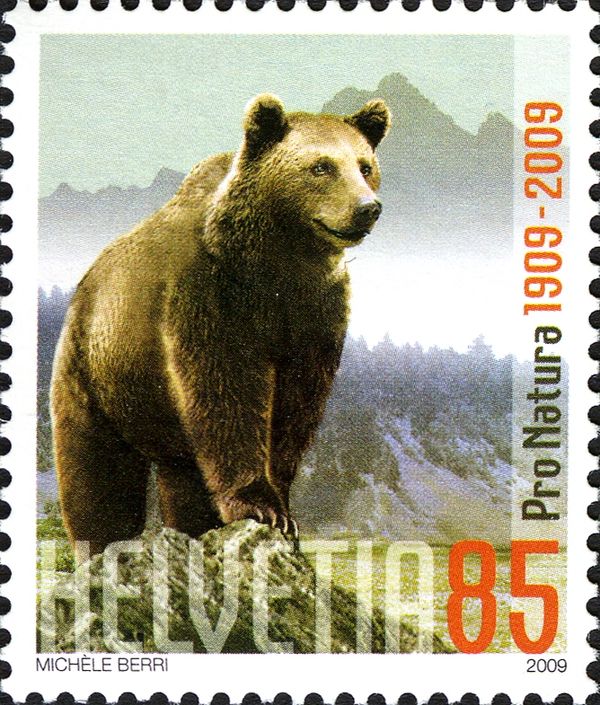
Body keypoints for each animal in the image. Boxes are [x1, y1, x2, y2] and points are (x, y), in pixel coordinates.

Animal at [50, 93, 391, 558]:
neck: (280, 264)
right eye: (321, 166)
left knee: (183, 479)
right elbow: (226, 391)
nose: (366, 208)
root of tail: (86, 285)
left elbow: (296, 405)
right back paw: (102, 547)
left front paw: (284, 506)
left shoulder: (316, 312)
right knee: (98, 477)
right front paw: (261, 506)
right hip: (97, 374)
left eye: (365, 165)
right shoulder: (209, 295)